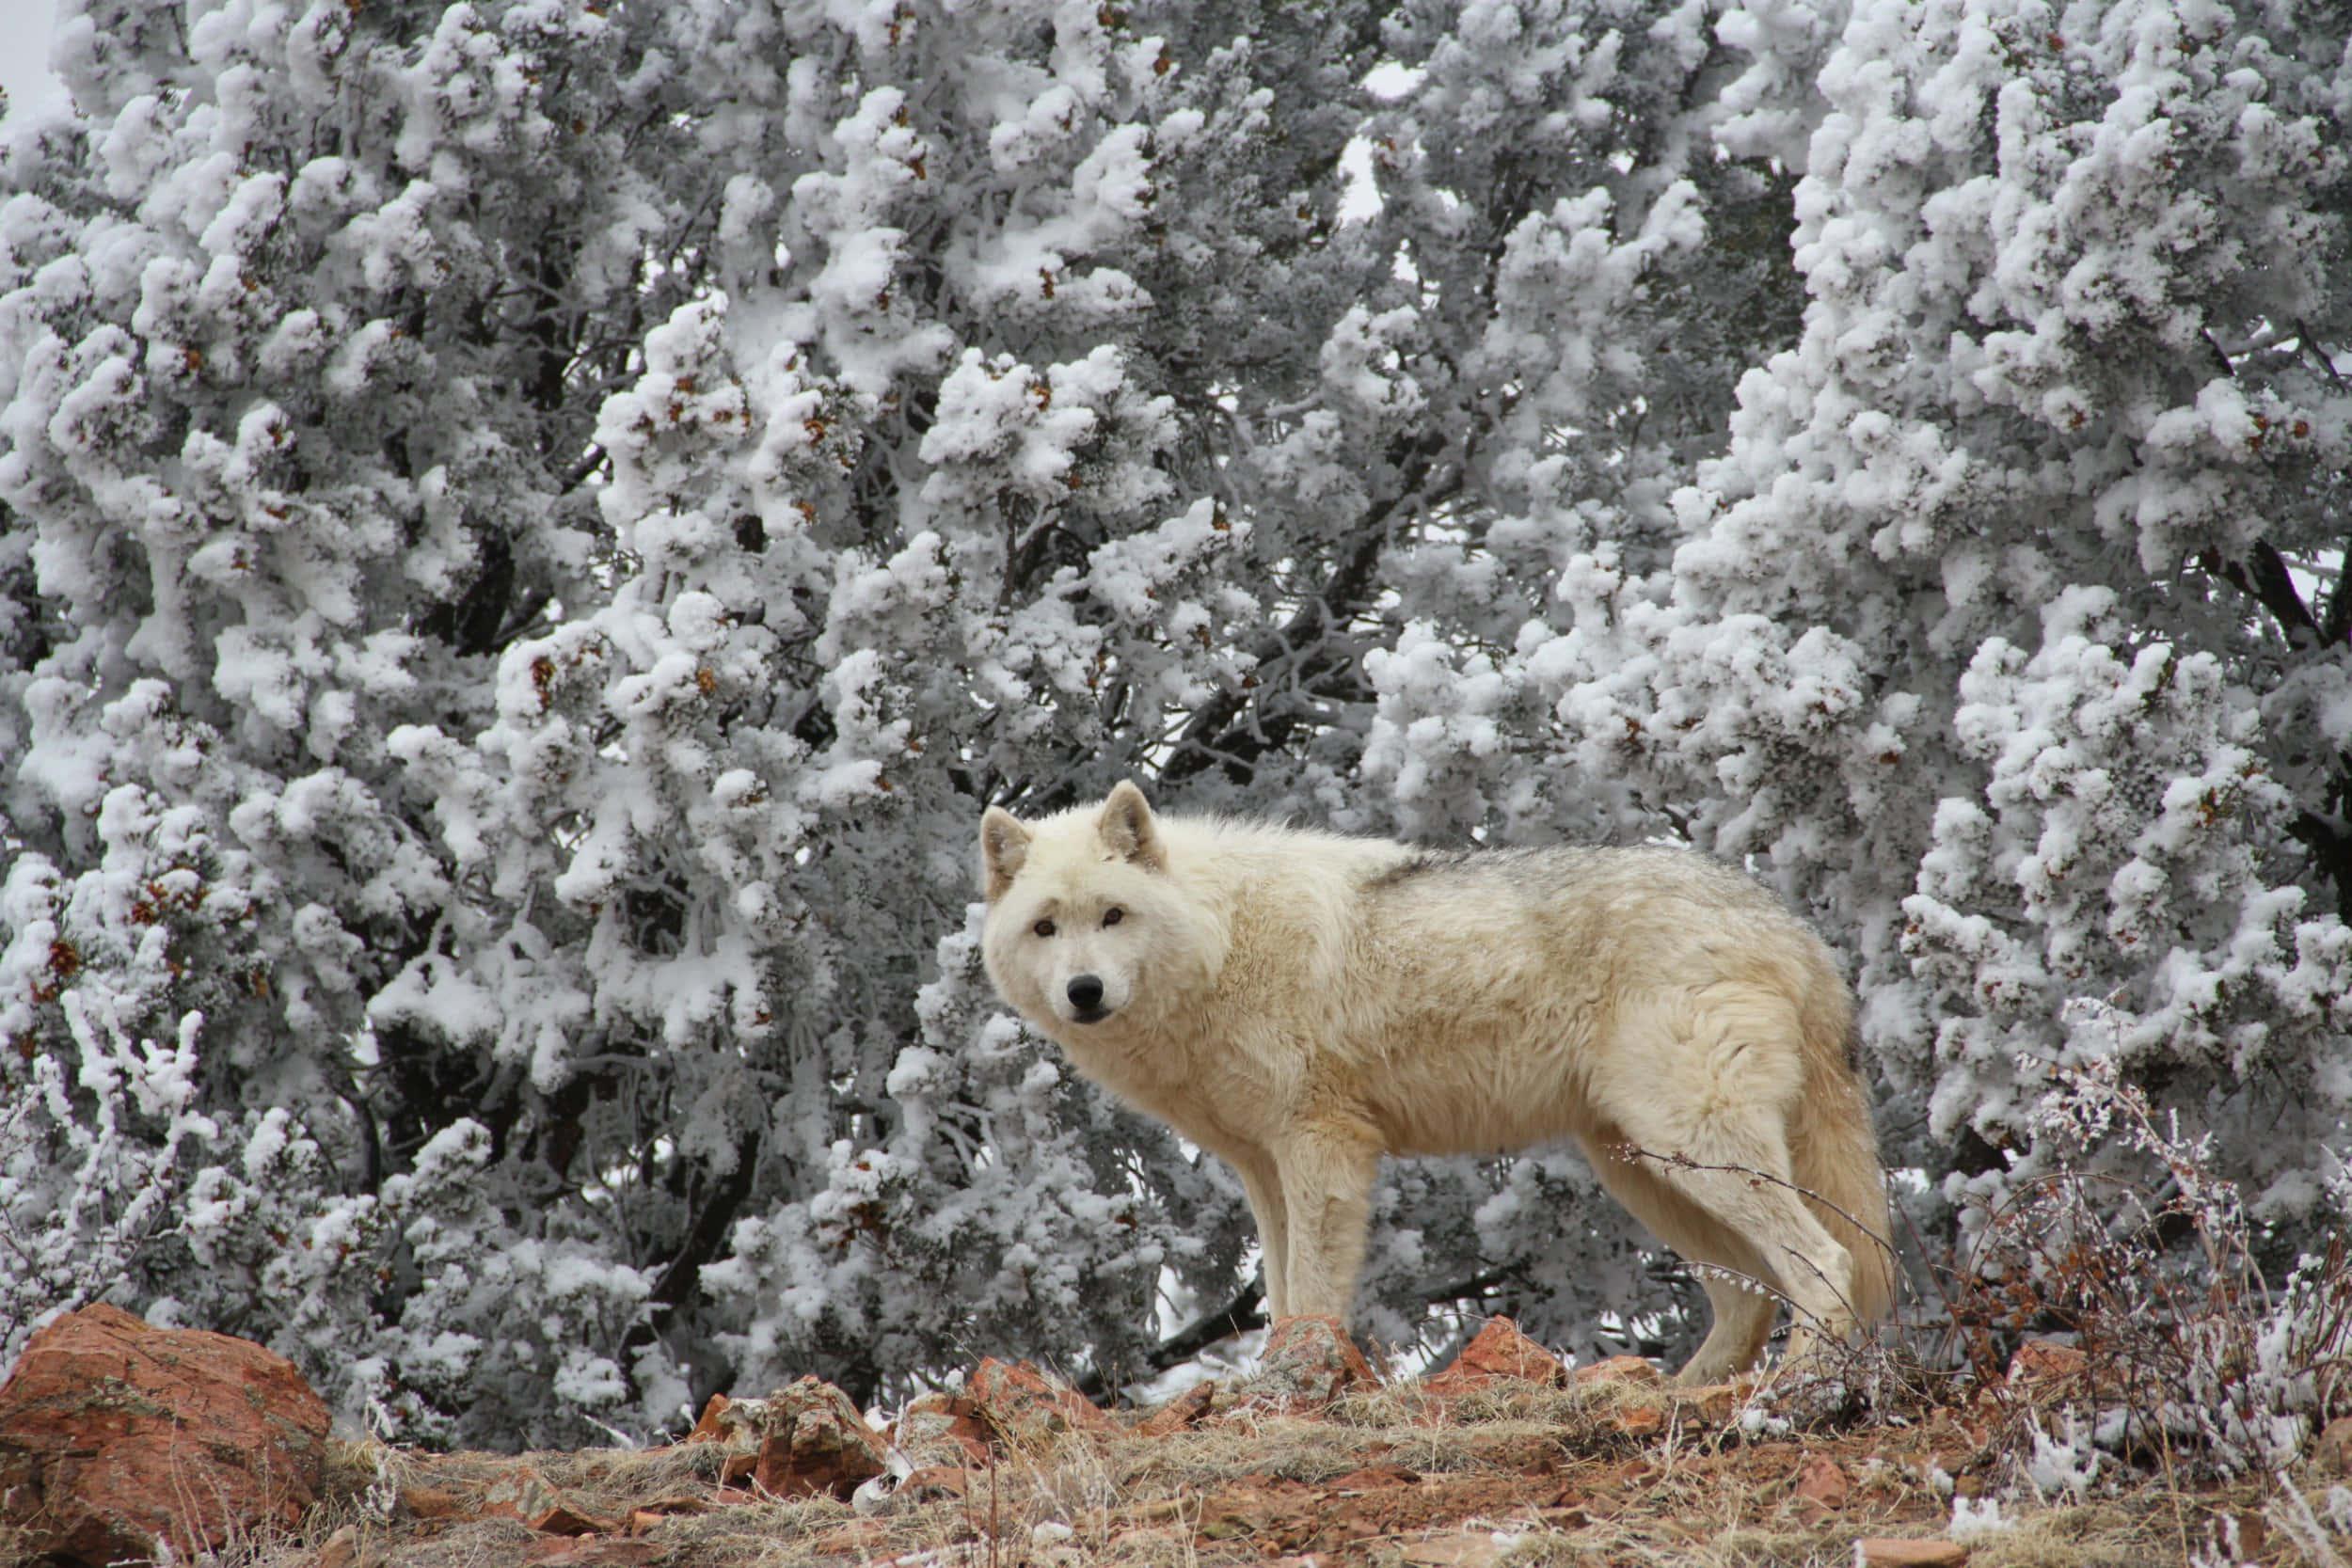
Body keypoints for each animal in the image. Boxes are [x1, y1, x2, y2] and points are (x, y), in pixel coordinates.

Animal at [977, 781, 1895, 1382]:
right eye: (1045, 927)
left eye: (1113, 915)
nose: (1084, 991)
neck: (1221, 939)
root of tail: (1793, 928)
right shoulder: (1263, 1166)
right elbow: (1282, 1290)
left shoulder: (1323, 1146)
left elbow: (1312, 1293)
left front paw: (1289, 1388)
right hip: (1648, 1171)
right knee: (1748, 1300)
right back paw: (1682, 1395)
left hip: (1689, 1151)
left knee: (1824, 1260)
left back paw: (1797, 1388)